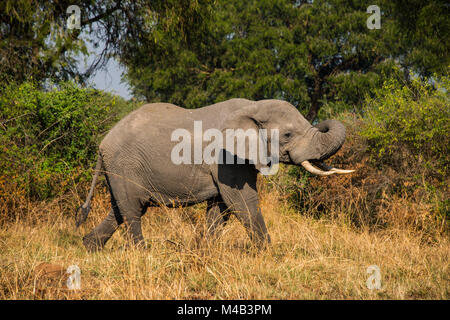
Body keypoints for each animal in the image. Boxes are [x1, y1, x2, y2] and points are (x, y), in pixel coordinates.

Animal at [75, 99, 354, 251]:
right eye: (287, 135)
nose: (322, 122)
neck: (253, 107)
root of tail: (103, 143)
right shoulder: (225, 157)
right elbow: (242, 200)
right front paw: (267, 253)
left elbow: (222, 206)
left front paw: (203, 252)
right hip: (125, 164)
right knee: (132, 210)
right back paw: (142, 253)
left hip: (121, 168)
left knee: (122, 208)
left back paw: (90, 247)